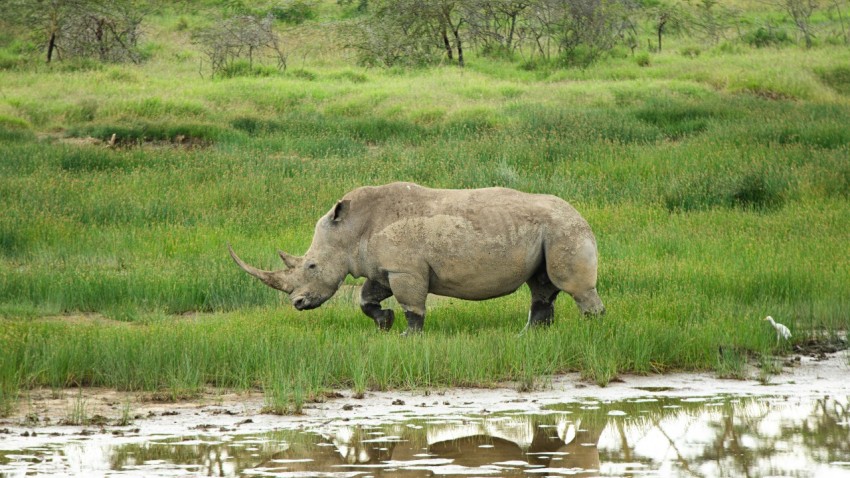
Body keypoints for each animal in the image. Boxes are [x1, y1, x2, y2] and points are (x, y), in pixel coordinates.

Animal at [228, 182, 604, 333]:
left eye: (311, 266)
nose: (297, 304)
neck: (350, 231)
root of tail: (581, 214)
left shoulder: (405, 270)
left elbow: (413, 305)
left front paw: (408, 336)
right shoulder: (384, 269)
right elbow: (366, 298)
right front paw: (385, 322)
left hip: (564, 229)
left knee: (571, 285)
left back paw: (590, 331)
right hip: (548, 231)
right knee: (541, 285)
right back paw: (527, 336)